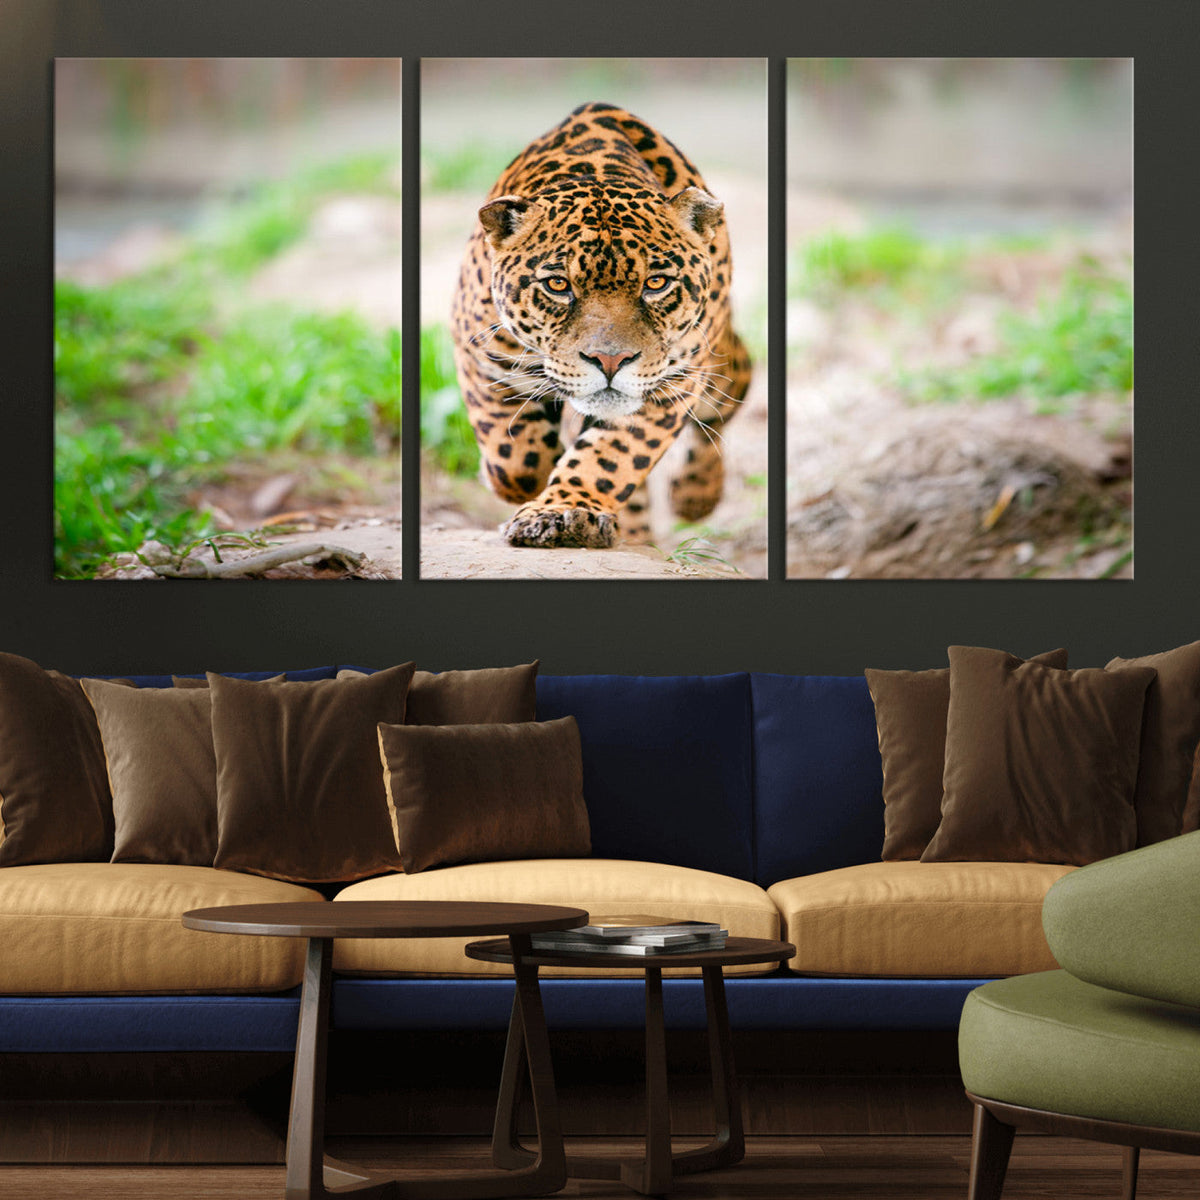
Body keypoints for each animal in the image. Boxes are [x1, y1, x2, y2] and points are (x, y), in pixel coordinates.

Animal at [450, 101, 752, 549]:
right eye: (558, 285)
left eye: (656, 283)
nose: (610, 361)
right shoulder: (481, 355)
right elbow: (515, 458)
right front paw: (524, 482)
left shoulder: (671, 384)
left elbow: (612, 457)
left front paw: (563, 511)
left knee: (726, 399)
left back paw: (695, 495)